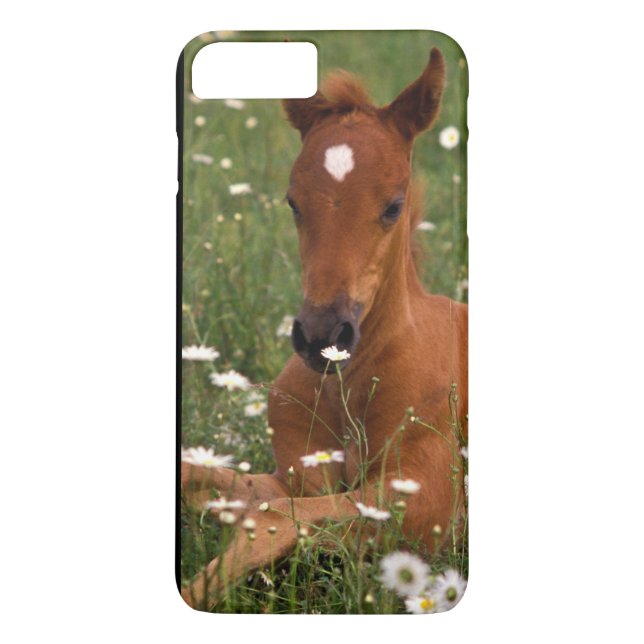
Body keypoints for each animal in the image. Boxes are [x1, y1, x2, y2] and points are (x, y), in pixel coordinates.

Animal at [181, 47, 468, 610]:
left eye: (394, 206)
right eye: (292, 201)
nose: (320, 338)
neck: (348, 391)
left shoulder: (430, 501)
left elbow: (274, 517)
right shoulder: (296, 470)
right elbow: (221, 484)